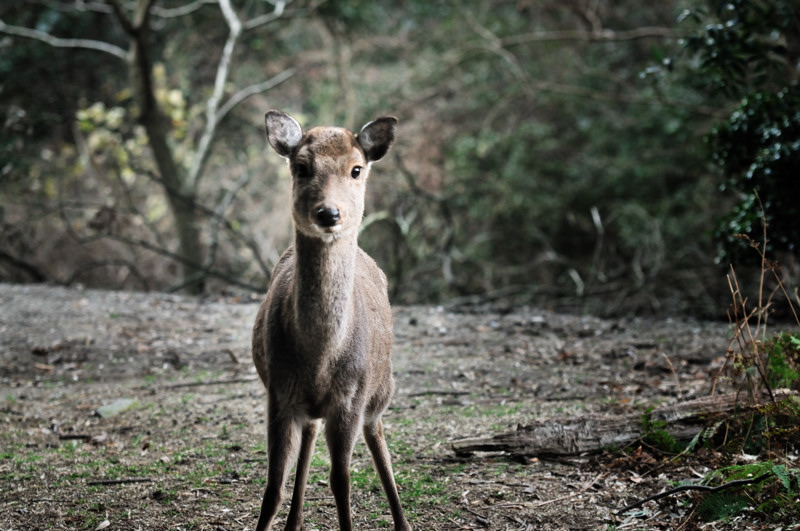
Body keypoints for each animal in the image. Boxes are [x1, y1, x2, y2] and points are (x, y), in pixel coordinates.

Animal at [252, 109, 412, 531]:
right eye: (301, 166)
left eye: (356, 169)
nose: (329, 213)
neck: (320, 358)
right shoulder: (279, 393)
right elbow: (272, 488)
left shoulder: (350, 397)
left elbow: (341, 481)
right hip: (310, 407)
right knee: (309, 436)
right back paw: (295, 523)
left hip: (381, 387)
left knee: (378, 435)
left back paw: (403, 522)